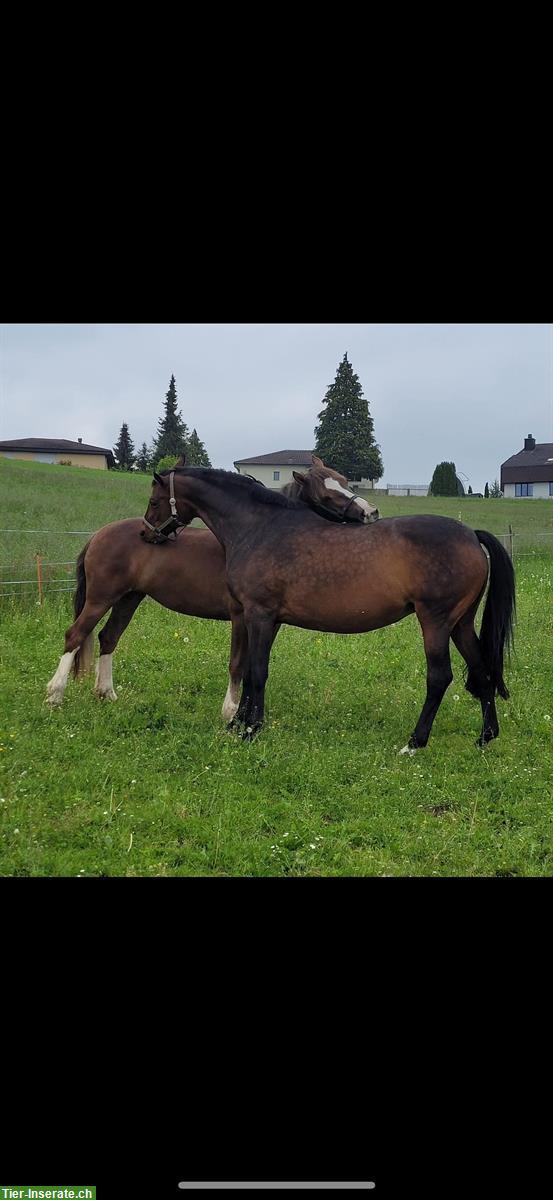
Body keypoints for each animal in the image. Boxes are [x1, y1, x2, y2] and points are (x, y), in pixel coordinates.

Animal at [47, 453, 376, 705]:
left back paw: (106, 693)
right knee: (75, 635)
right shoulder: (241, 616)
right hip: (100, 598)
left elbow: (254, 665)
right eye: (326, 493)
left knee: (108, 637)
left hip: (128, 599)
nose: (371, 513)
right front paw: (230, 712)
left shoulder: (269, 621)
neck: (252, 532)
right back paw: (55, 694)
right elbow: (238, 665)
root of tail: (97, 535)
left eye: (344, 482)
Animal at [140, 460, 515, 748]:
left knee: (439, 677)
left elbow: (257, 672)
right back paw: (486, 737)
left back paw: (414, 742)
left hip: (435, 623)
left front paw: (250, 730)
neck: (261, 527)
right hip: (460, 624)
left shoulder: (259, 615)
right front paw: (240, 722)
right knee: (482, 670)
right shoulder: (266, 619)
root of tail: (470, 535)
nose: (146, 533)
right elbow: (249, 670)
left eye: (154, 501)